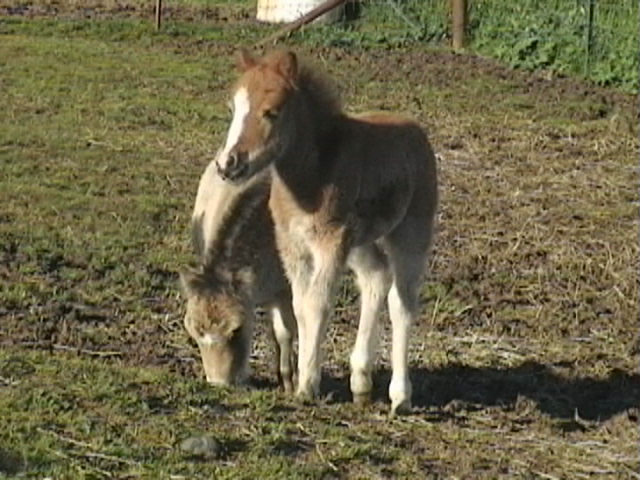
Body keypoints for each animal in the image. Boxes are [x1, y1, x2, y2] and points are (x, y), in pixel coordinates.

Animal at [180, 159, 298, 392]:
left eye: (237, 329)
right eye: (194, 331)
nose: (219, 383)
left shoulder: (286, 291)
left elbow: (286, 333)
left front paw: (290, 382)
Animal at [218, 49, 438, 416]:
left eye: (272, 112)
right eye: (234, 107)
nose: (227, 164)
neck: (312, 174)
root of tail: (416, 130)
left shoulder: (330, 243)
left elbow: (316, 304)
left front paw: (307, 384)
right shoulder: (293, 246)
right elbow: (299, 305)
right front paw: (302, 378)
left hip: (410, 234)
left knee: (402, 303)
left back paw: (400, 396)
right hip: (360, 242)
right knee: (376, 278)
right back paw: (361, 382)